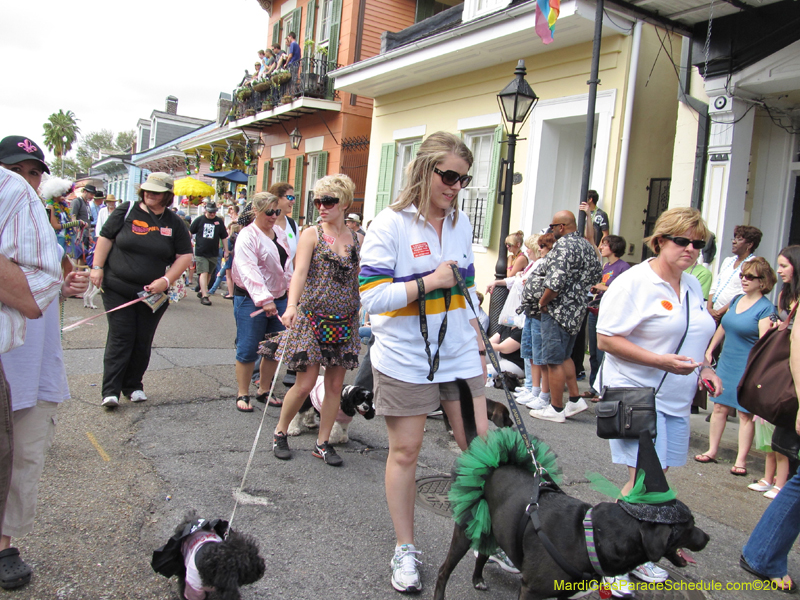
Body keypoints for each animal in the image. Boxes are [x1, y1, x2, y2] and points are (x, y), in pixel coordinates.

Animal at [434, 382, 708, 600]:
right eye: (689, 525)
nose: (706, 538)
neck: (590, 535)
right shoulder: (530, 591)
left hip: (490, 527)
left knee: (482, 553)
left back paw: (478, 579)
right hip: (465, 531)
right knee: (444, 570)